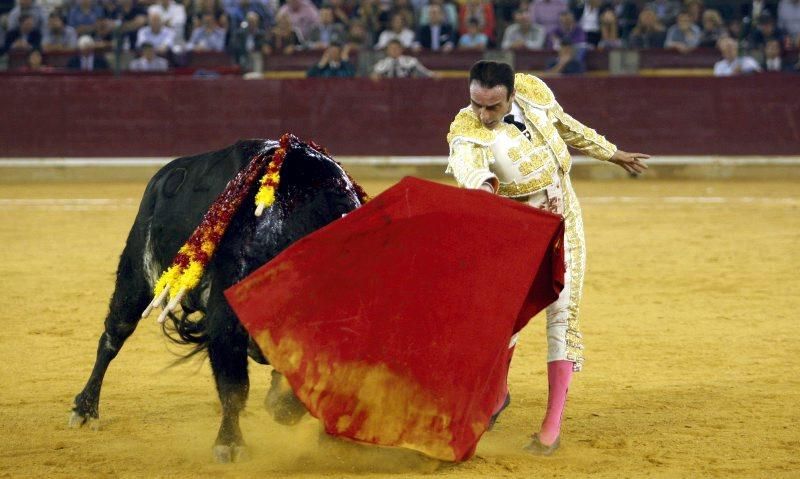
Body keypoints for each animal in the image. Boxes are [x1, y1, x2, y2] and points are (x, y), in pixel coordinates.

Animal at [70, 141, 364, 464]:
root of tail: (162, 176)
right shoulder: (226, 320)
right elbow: (234, 387)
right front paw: (230, 443)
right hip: (136, 277)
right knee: (112, 337)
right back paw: (85, 409)